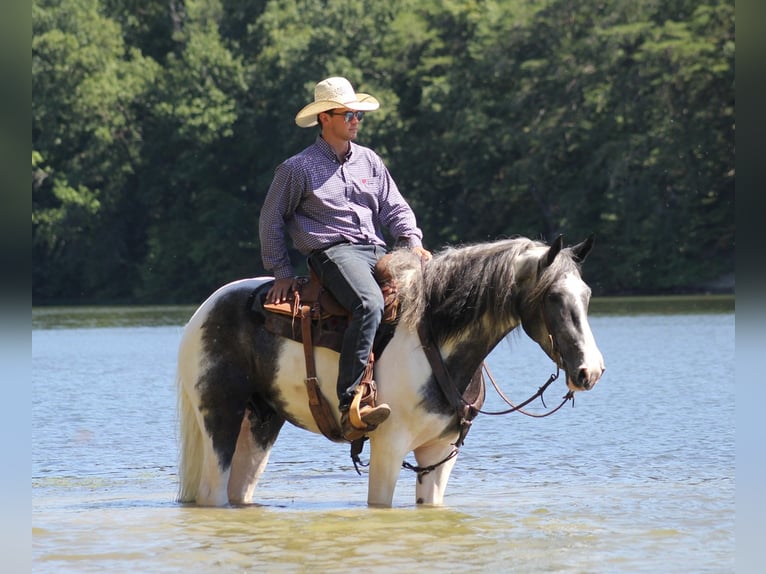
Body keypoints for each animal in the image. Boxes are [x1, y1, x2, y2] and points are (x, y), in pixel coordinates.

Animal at [177, 237, 608, 508]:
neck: (434, 340)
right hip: (220, 416)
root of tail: (205, 310)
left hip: (261, 421)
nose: (590, 371)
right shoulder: (388, 447)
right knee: (214, 490)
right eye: (554, 297)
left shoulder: (439, 452)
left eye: (587, 294)